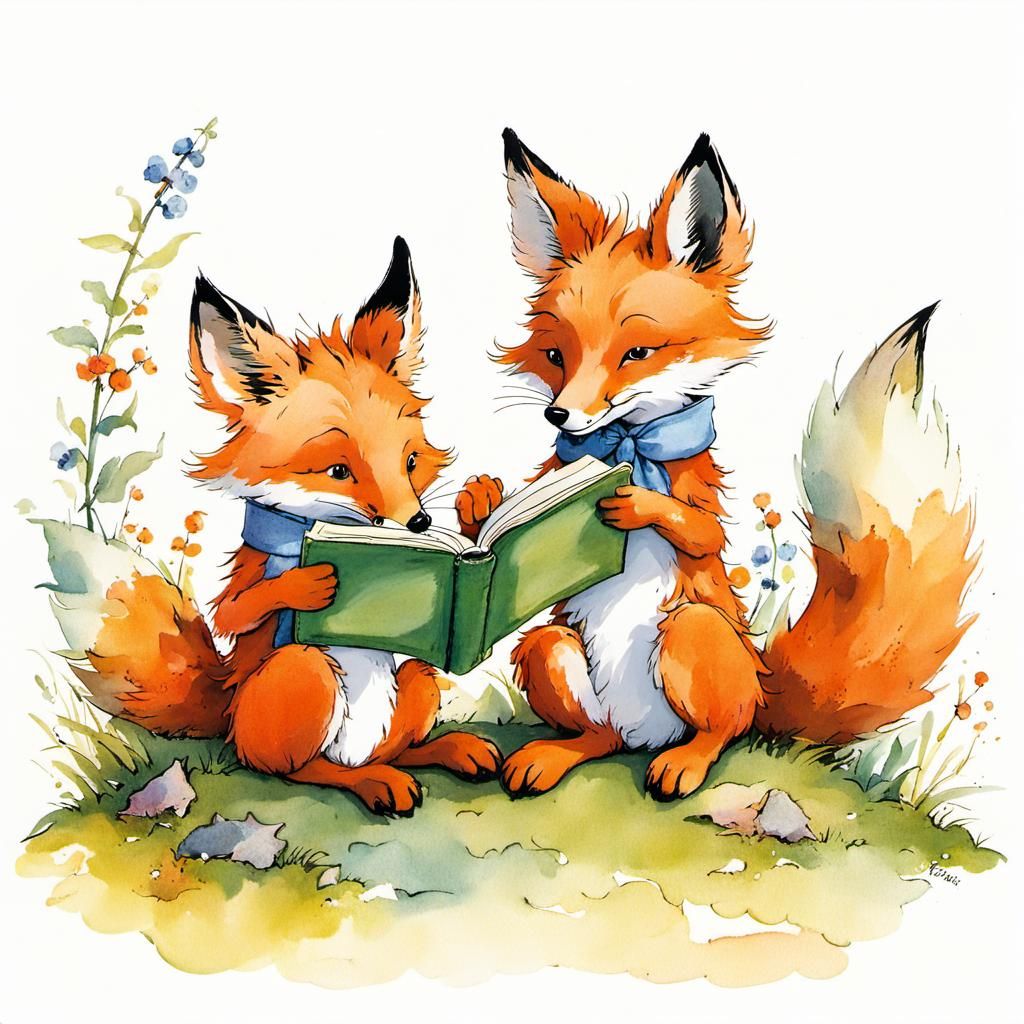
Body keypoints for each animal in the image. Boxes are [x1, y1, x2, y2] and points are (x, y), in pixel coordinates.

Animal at [72, 236, 502, 815]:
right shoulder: (252, 580)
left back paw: (447, 750)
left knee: (399, 747)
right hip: (303, 676)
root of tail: (229, 712)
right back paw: (375, 783)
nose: (418, 522)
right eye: (338, 471)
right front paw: (304, 583)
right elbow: (236, 610)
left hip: (417, 677)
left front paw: (482, 500)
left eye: (410, 462)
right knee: (298, 770)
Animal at [454, 129, 977, 801]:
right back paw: (554, 755)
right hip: (552, 646)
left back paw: (685, 764)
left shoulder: (698, 507)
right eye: (555, 355)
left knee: (720, 731)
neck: (629, 443)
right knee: (600, 736)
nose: (559, 415)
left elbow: (698, 530)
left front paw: (640, 502)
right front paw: (479, 501)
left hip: (693, 632)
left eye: (638, 352)